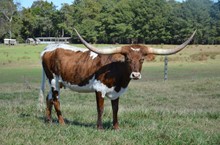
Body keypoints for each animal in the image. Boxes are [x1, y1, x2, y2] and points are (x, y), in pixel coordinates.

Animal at [39, 28, 196, 130]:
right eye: (127, 59)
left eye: (142, 59)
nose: (135, 75)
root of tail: (48, 48)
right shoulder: (99, 89)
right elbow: (100, 108)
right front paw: (100, 127)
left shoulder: (117, 92)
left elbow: (115, 109)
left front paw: (116, 127)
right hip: (53, 80)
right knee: (56, 100)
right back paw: (61, 122)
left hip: (58, 82)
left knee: (49, 98)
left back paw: (48, 121)